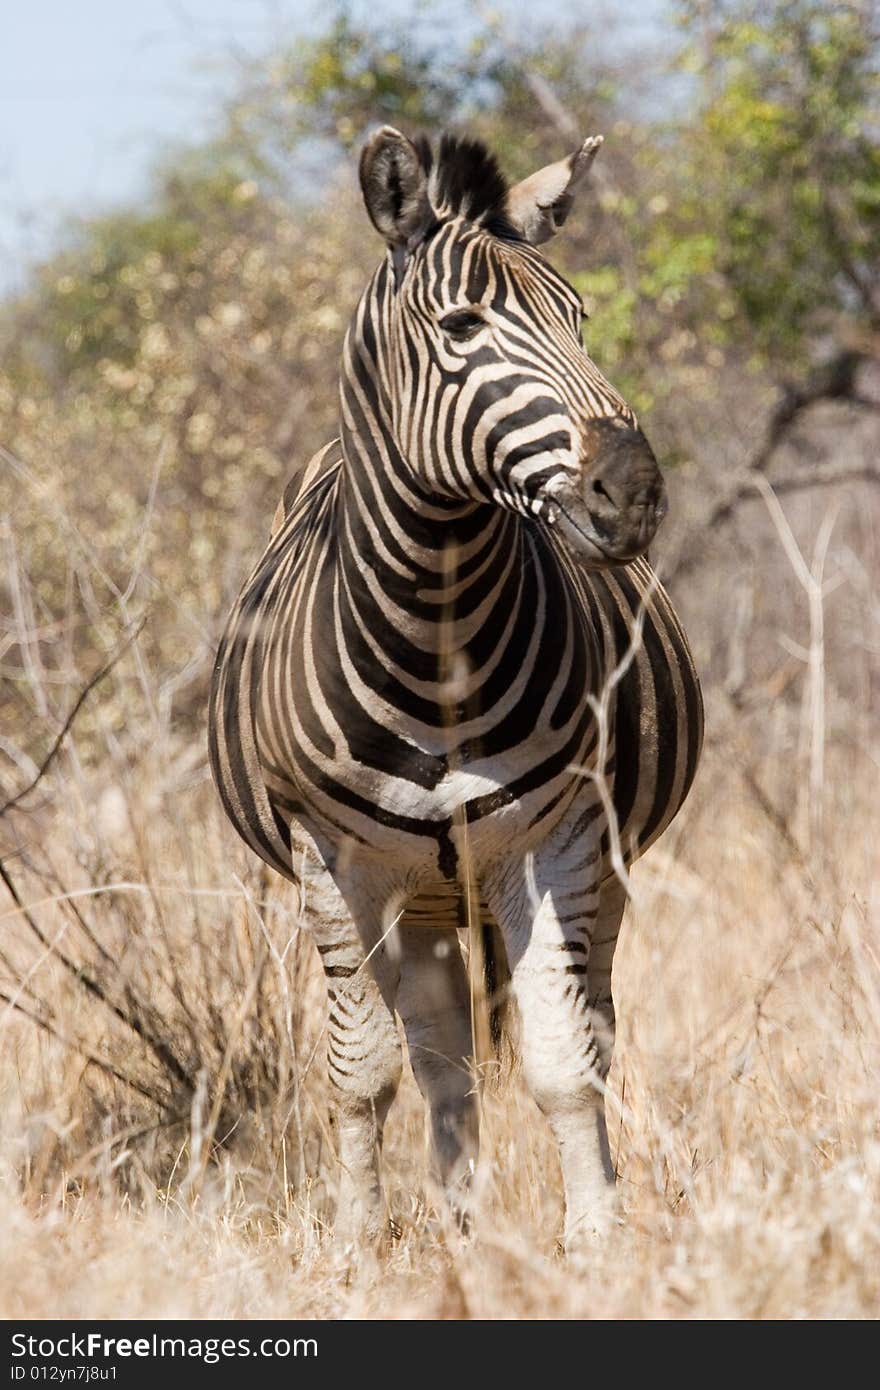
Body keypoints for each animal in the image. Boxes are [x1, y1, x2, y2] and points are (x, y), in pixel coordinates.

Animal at [209, 127, 703, 1251]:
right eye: (463, 326)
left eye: (578, 317)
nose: (635, 494)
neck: (434, 630)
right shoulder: (331, 862)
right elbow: (362, 1075)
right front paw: (357, 1246)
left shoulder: (558, 839)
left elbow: (565, 1063)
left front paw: (596, 1241)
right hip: (421, 894)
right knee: (439, 1056)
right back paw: (458, 1220)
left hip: (578, 871)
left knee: (580, 1025)